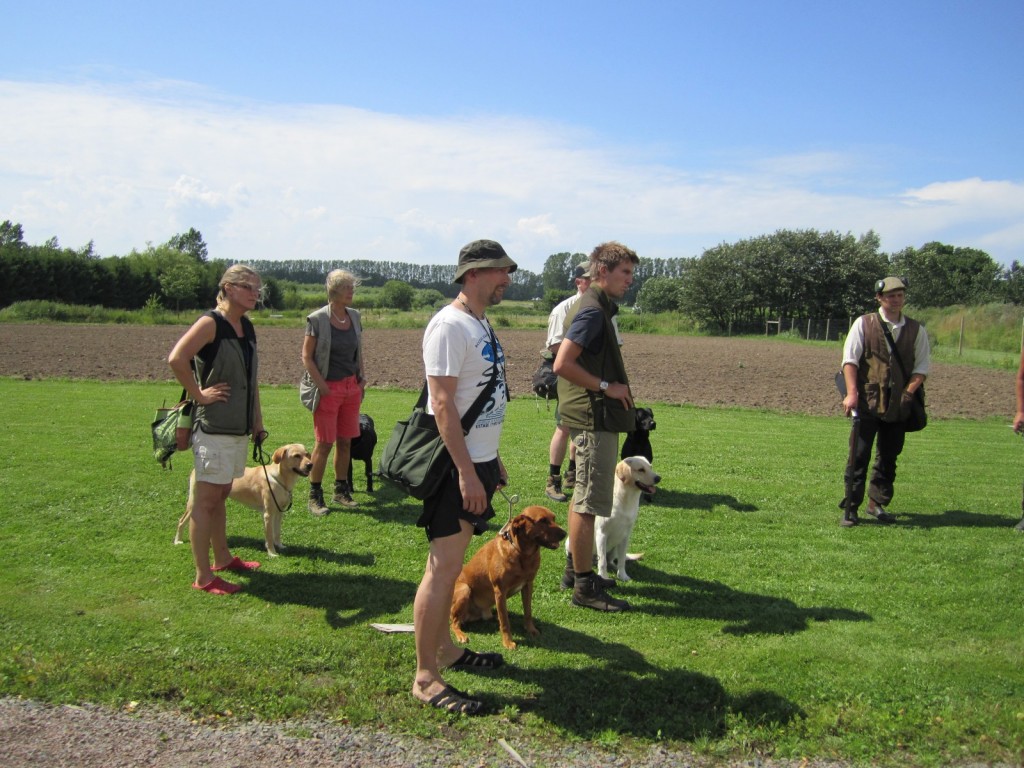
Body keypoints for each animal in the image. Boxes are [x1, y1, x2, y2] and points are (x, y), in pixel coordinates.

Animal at [173, 444, 311, 561]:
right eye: (296, 456)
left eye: (307, 454)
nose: (311, 465)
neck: (280, 479)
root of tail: (196, 469)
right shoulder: (268, 514)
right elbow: (269, 536)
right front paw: (272, 553)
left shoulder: (279, 512)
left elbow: (276, 533)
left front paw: (280, 546)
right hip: (194, 503)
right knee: (181, 521)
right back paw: (177, 541)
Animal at [450, 507, 565, 651]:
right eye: (542, 520)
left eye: (554, 518)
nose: (565, 533)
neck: (523, 554)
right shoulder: (500, 591)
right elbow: (505, 622)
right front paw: (507, 641)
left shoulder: (528, 585)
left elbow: (528, 612)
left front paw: (531, 629)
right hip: (465, 589)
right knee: (454, 622)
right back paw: (461, 634)